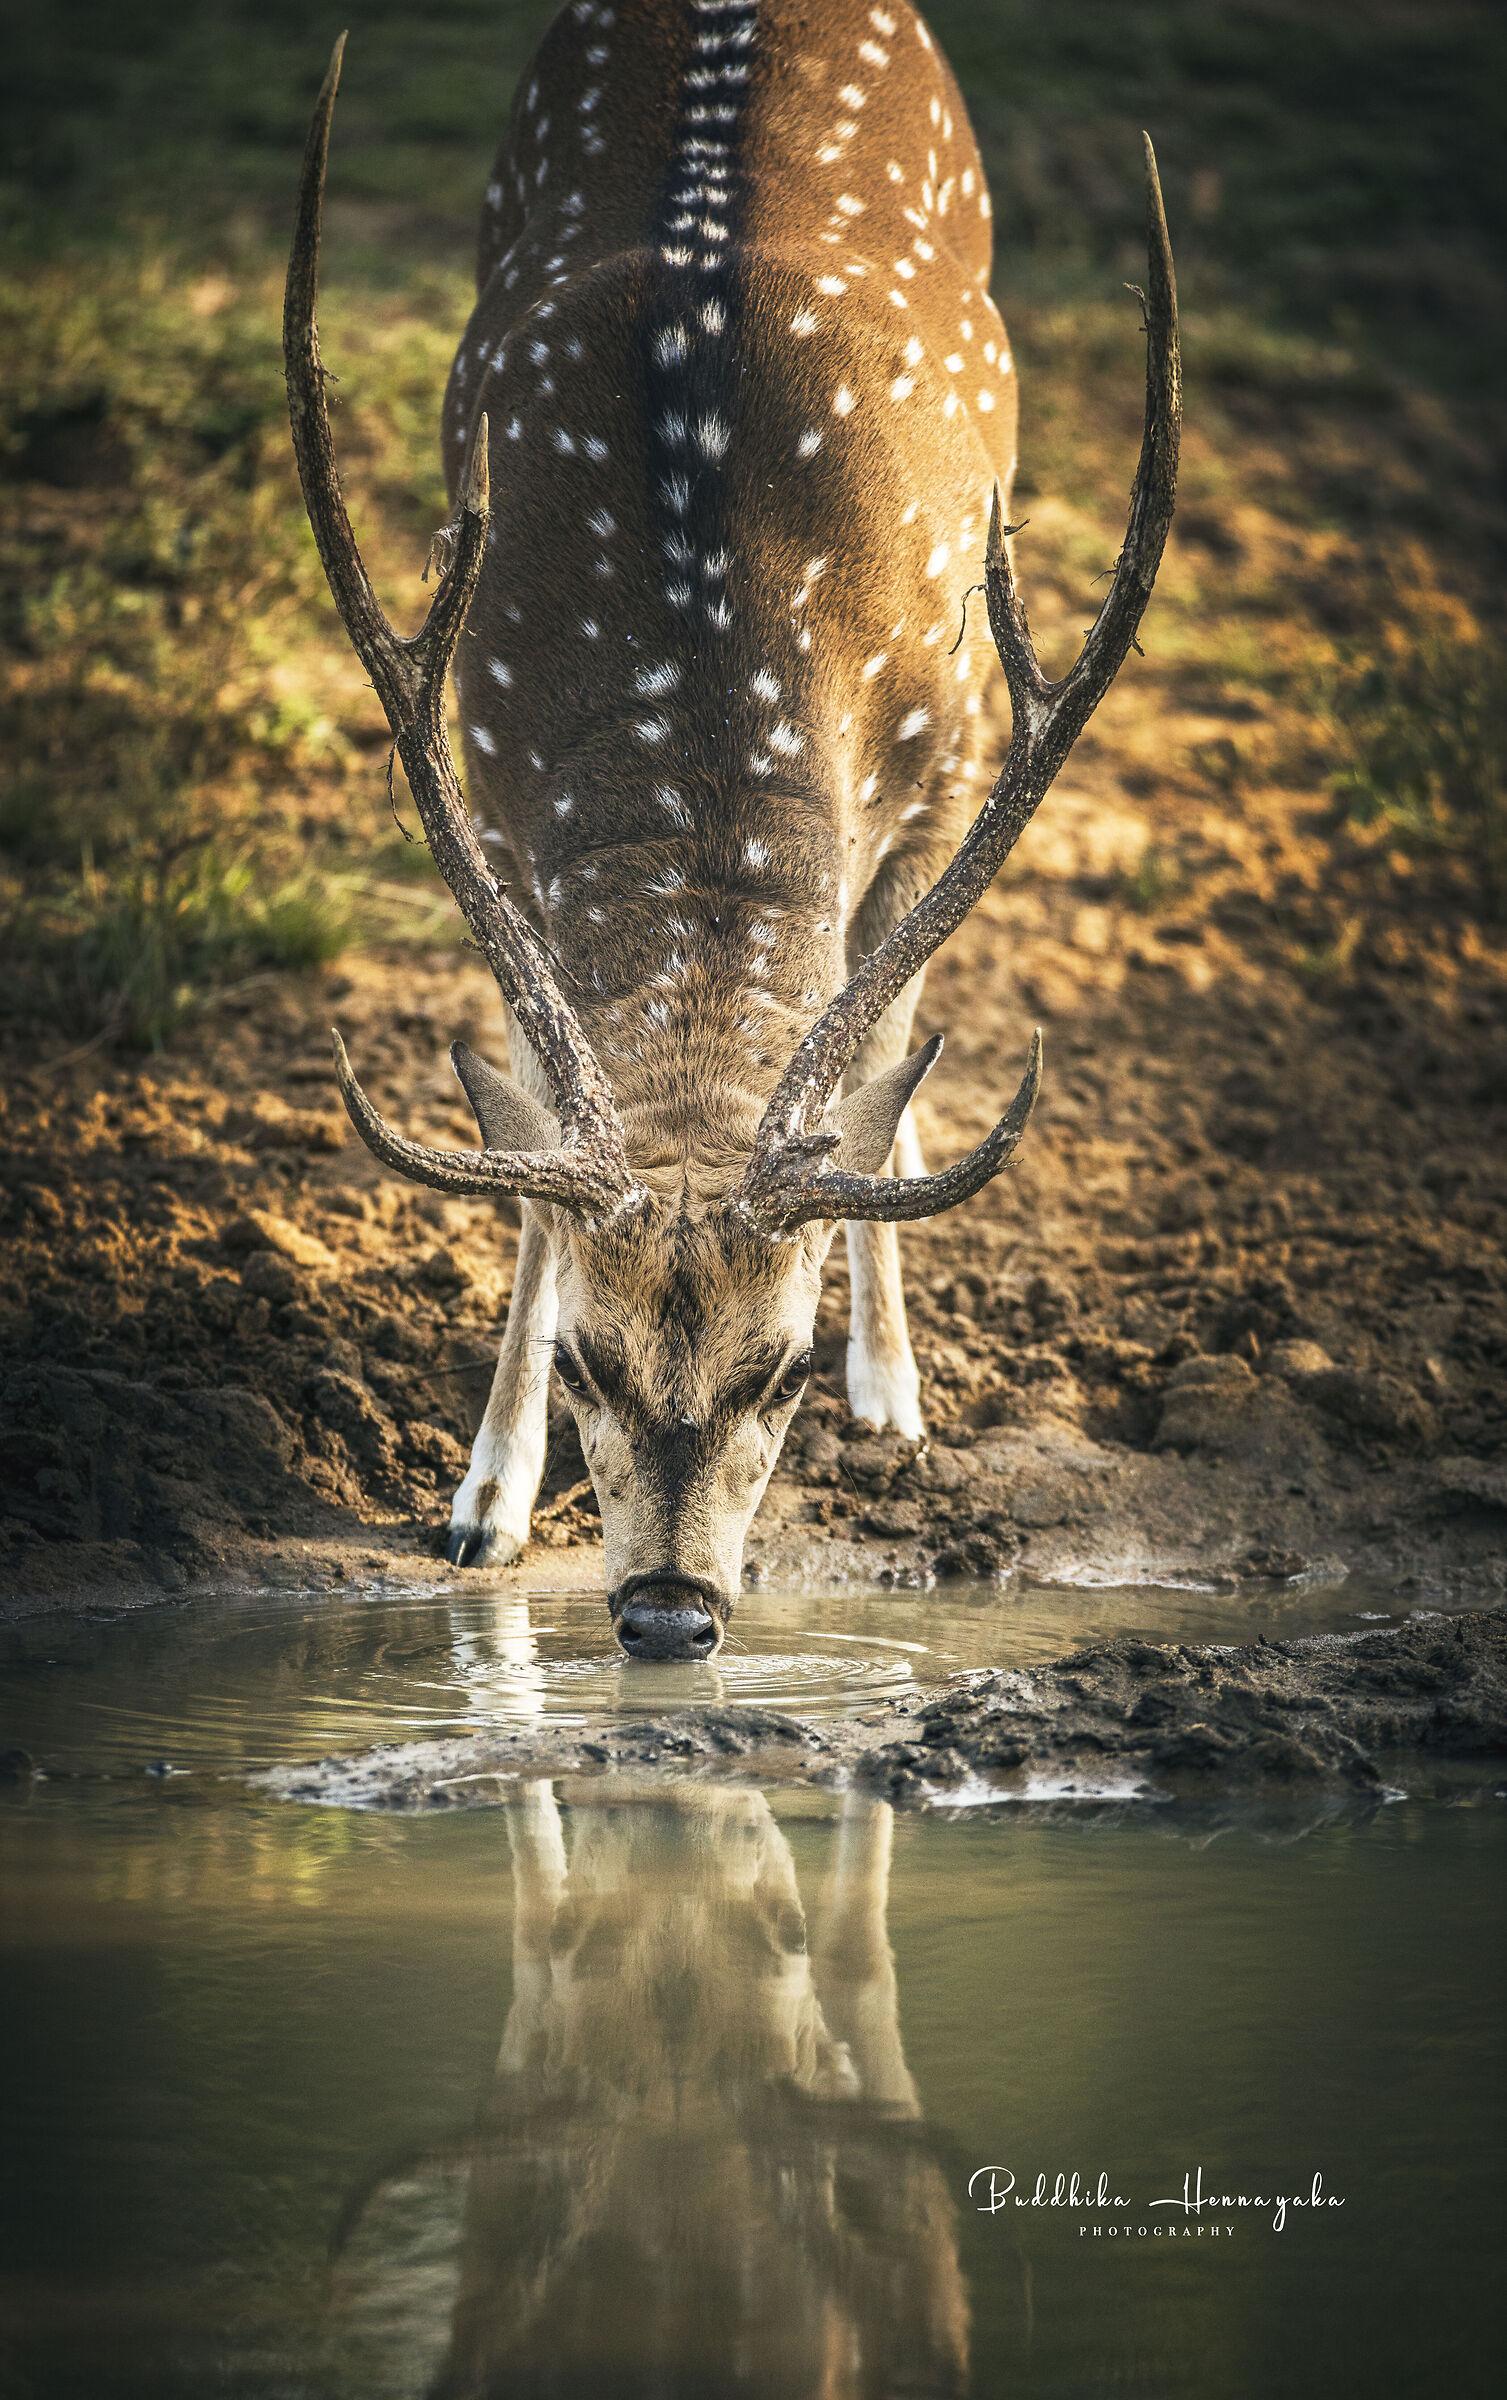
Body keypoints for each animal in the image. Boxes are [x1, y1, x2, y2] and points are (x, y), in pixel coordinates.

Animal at [283, 0, 1179, 1662]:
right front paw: (484, 1498)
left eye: (778, 1367)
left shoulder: (951, 751)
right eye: (587, 1360)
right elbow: (539, 1131)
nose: (665, 1614)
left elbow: (874, 1033)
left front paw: (887, 1387)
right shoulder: (493, 786)